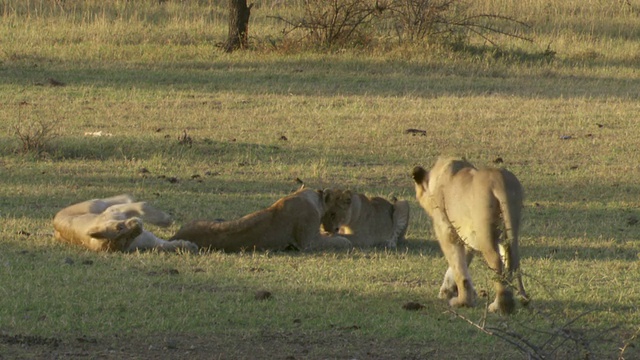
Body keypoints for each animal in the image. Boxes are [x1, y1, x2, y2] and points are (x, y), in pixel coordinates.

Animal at [52, 194, 198, 253]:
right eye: (126, 239)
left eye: (120, 227)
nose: (138, 227)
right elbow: (164, 246)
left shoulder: (115, 210)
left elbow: (141, 206)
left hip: (95, 205)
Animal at [168, 187, 352, 252]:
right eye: (333, 213)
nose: (333, 228)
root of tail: (174, 236)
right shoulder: (308, 242)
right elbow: (336, 241)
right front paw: (344, 240)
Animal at [412, 156, 528, 314]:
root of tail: (499, 180)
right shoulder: (465, 234)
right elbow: (461, 264)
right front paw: (449, 291)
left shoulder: (446, 231)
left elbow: (458, 267)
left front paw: (462, 301)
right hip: (510, 227)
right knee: (511, 259)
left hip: (485, 233)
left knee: (496, 262)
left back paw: (501, 305)